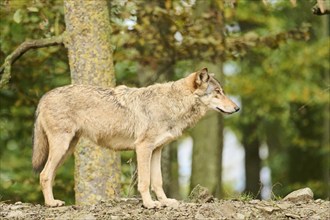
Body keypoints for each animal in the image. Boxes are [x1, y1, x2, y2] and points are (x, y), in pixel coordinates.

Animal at [32, 68, 240, 209]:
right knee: (44, 174)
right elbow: (145, 182)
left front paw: (165, 201)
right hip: (62, 147)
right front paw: (149, 204)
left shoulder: (156, 150)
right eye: (218, 92)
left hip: (67, 150)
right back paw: (51, 203)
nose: (237, 108)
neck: (172, 104)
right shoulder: (143, 148)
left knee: (47, 175)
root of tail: (44, 96)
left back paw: (52, 201)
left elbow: (158, 181)